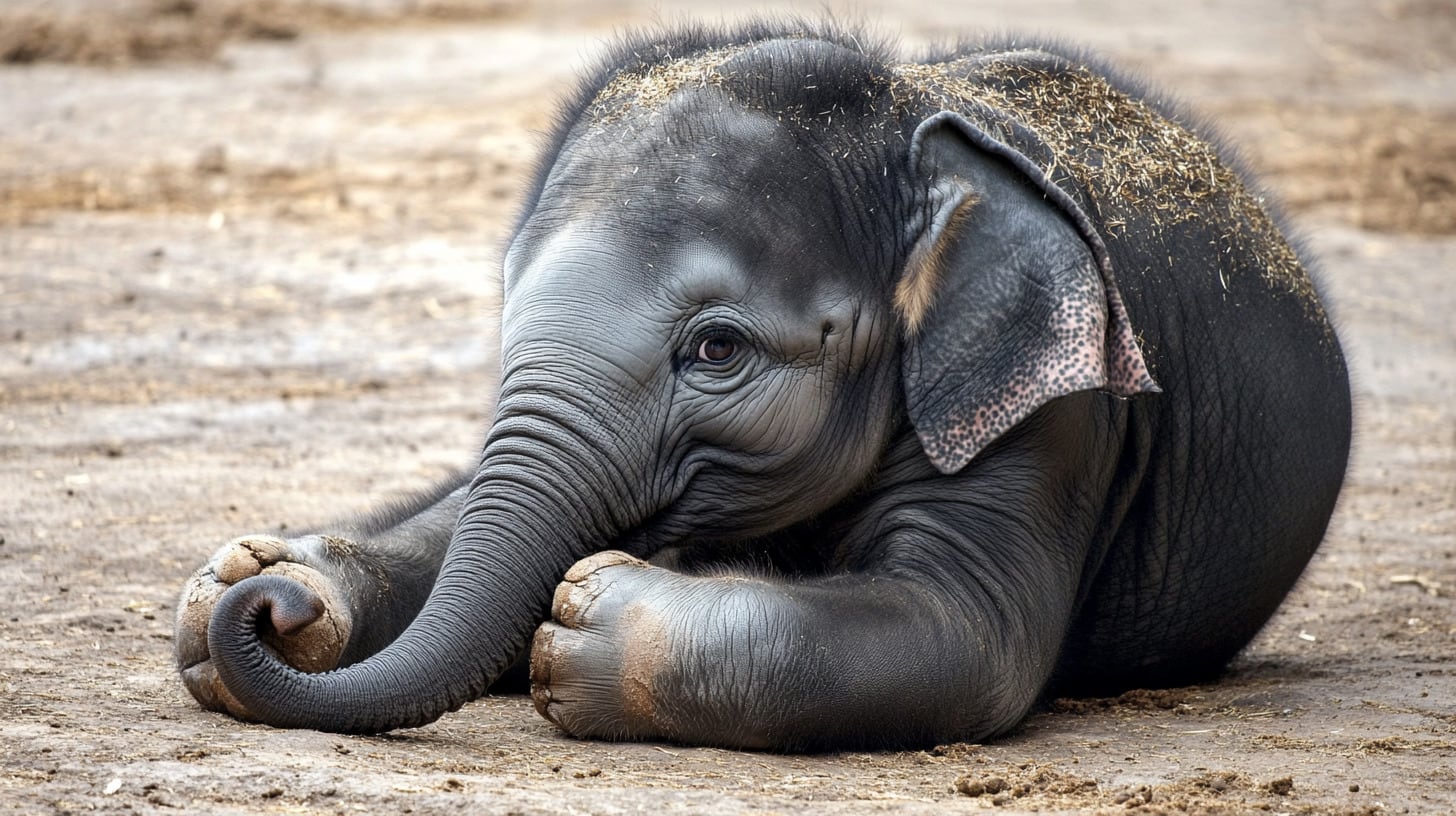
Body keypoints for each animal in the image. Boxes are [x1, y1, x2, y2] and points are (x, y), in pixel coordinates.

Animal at [174, 21, 1352, 751]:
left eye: (716, 351)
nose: (270, 616)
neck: (915, 123)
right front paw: (259, 581)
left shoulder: (1057, 412)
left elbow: (969, 636)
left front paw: (588, 617)